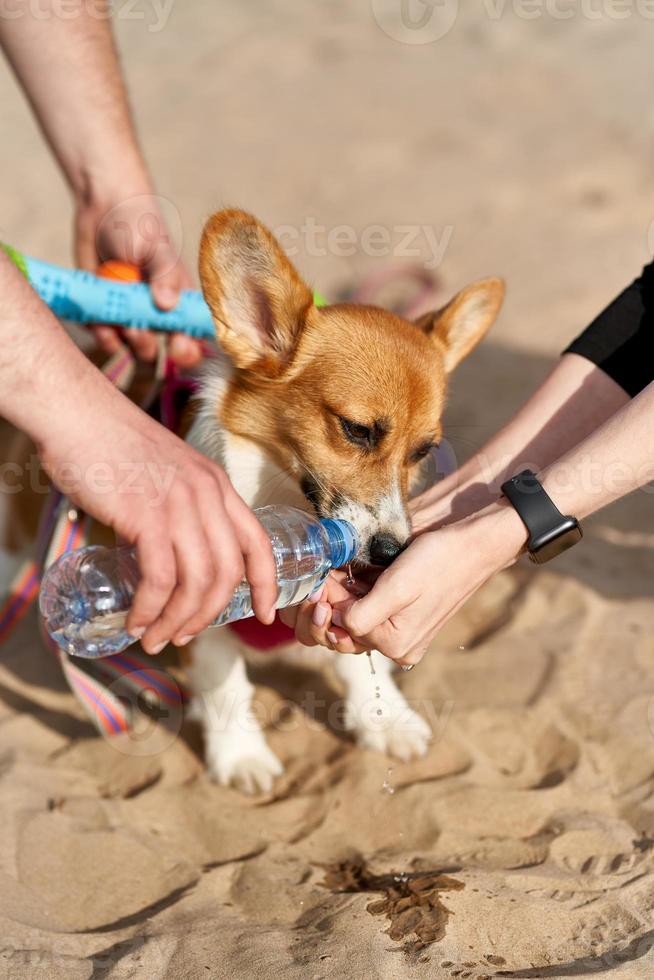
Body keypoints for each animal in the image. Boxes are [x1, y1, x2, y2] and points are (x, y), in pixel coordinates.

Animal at [184, 211, 508, 792]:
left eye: (423, 451)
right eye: (356, 430)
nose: (390, 554)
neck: (279, 495)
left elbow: (359, 661)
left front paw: (385, 720)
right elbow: (226, 684)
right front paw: (240, 756)